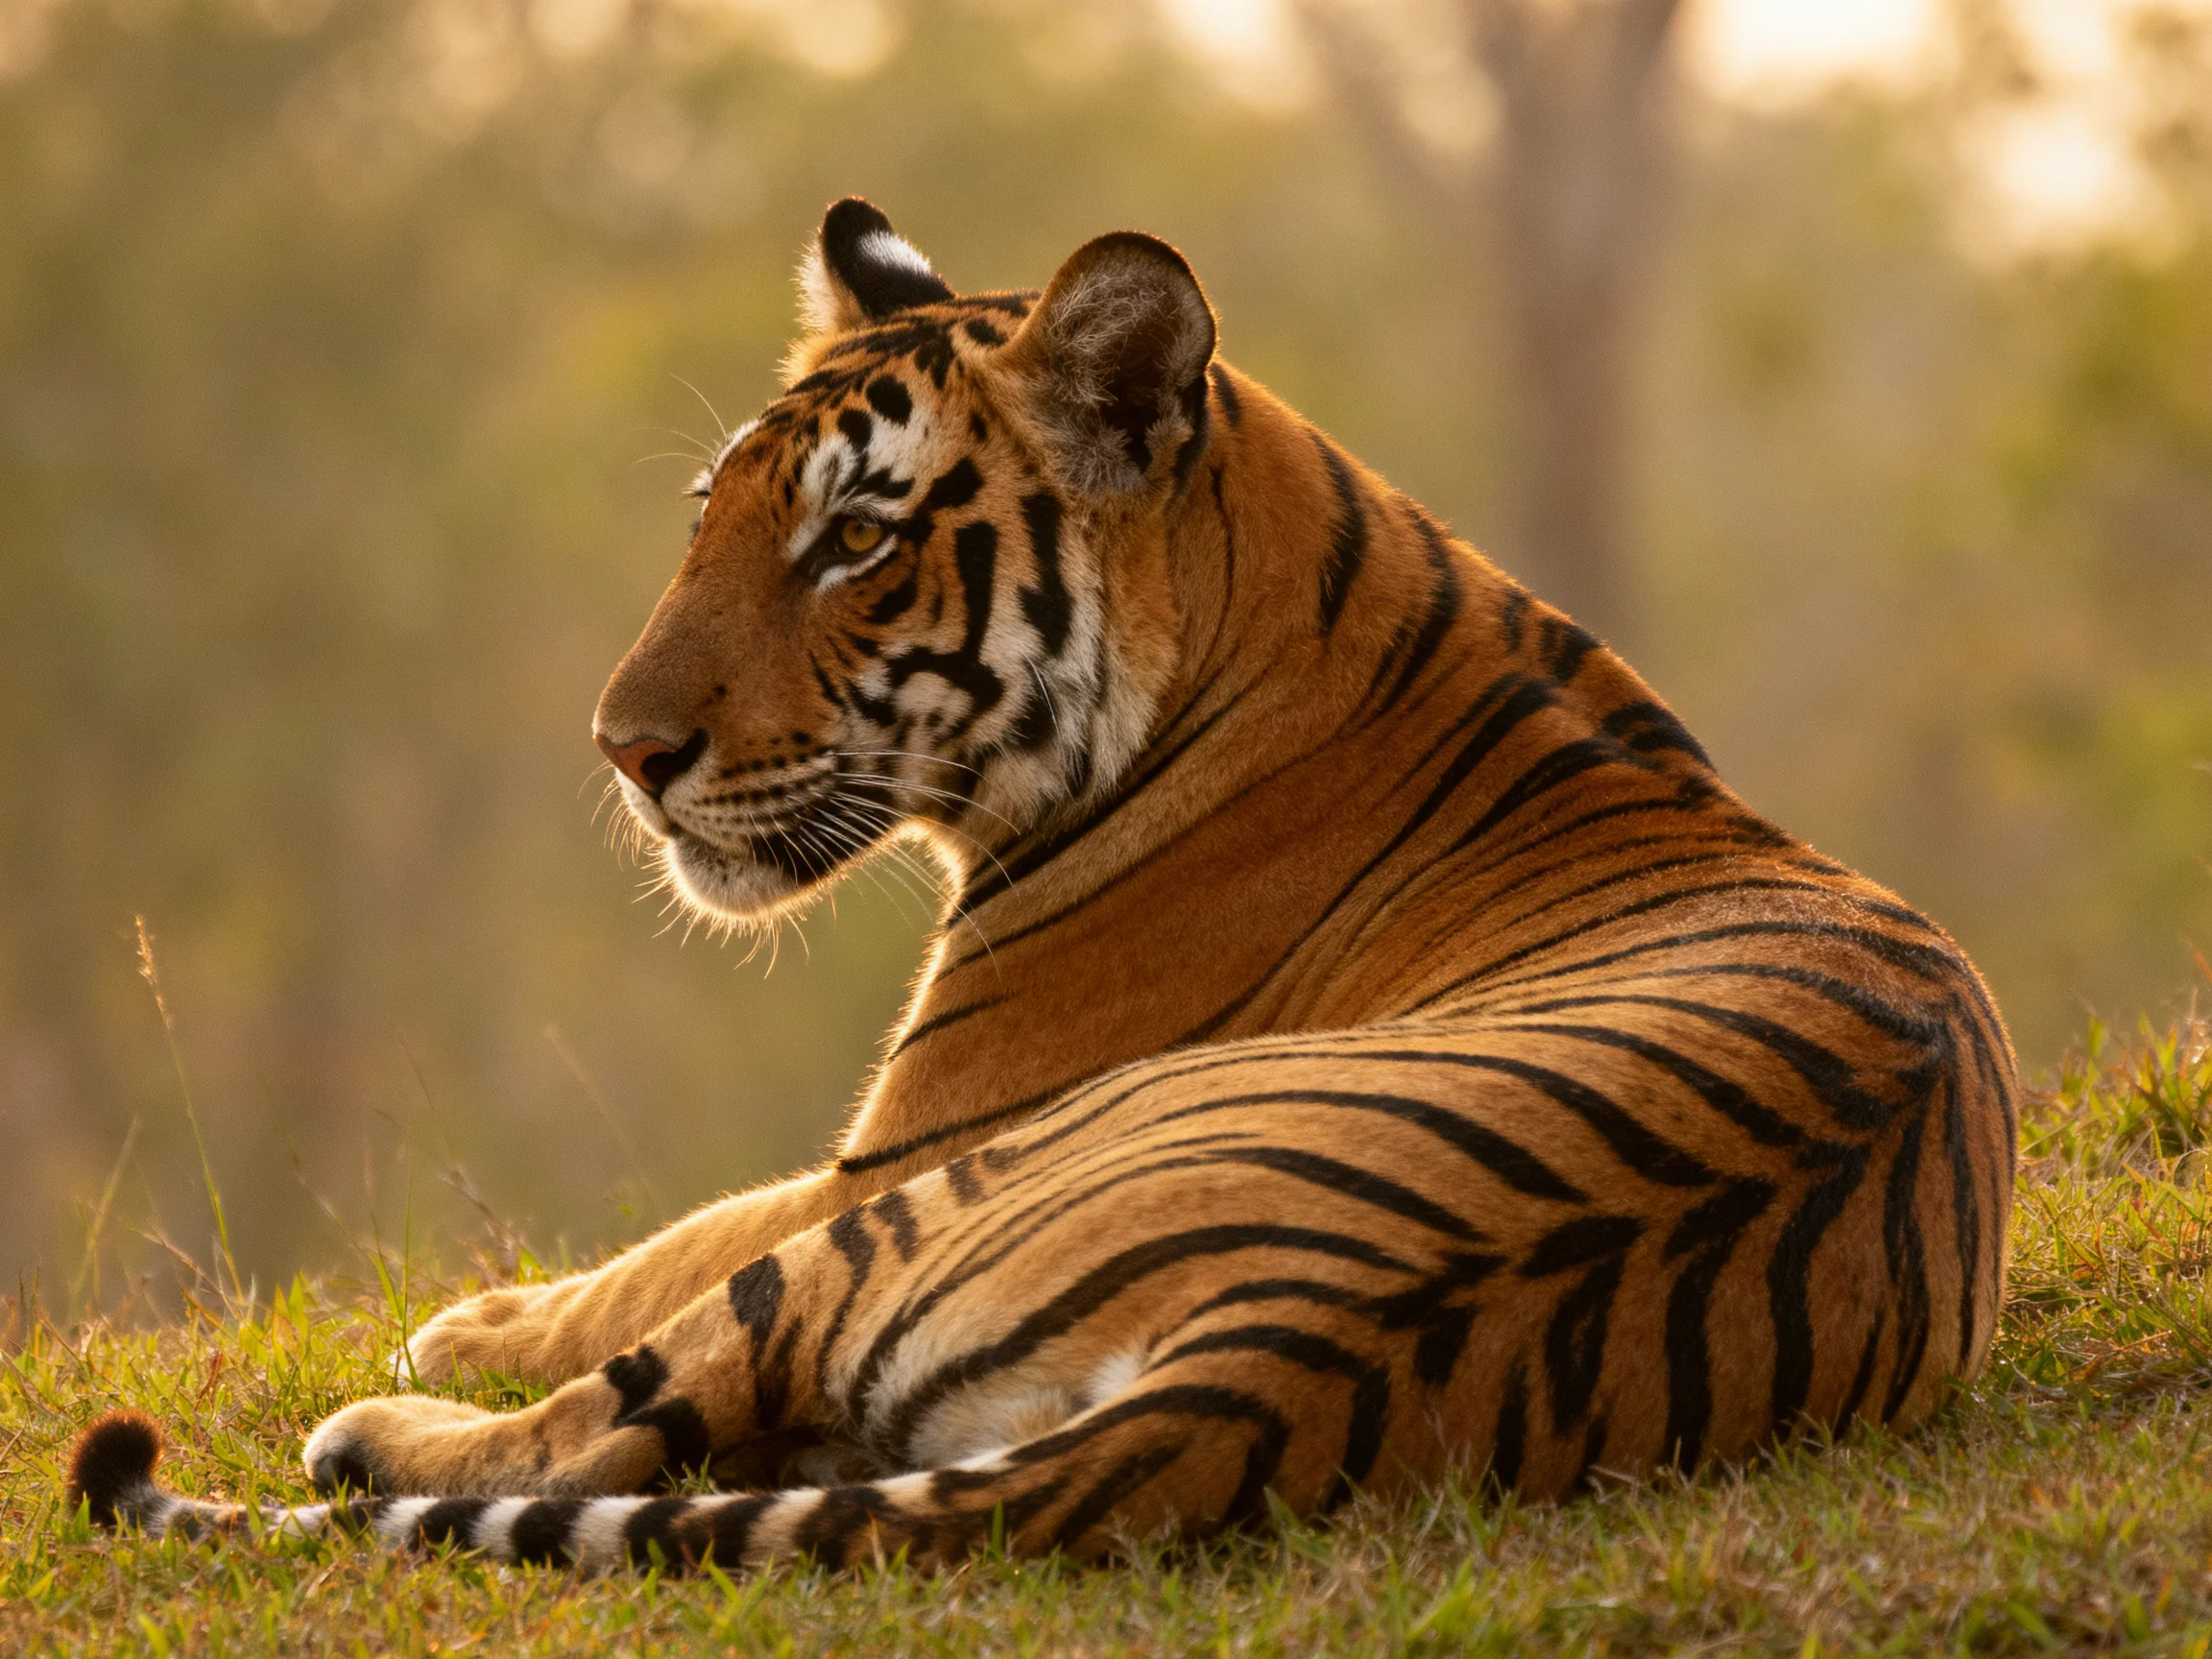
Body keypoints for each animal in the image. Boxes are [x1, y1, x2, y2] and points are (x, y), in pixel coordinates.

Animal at [71, 197, 2017, 1574]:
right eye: (708, 519)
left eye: (855, 539)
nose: (624, 750)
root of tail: (1286, 1350)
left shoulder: (903, 1142)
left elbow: (677, 1241)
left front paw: (465, 1317)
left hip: (942, 1200)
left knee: (622, 1417)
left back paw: (376, 1429)